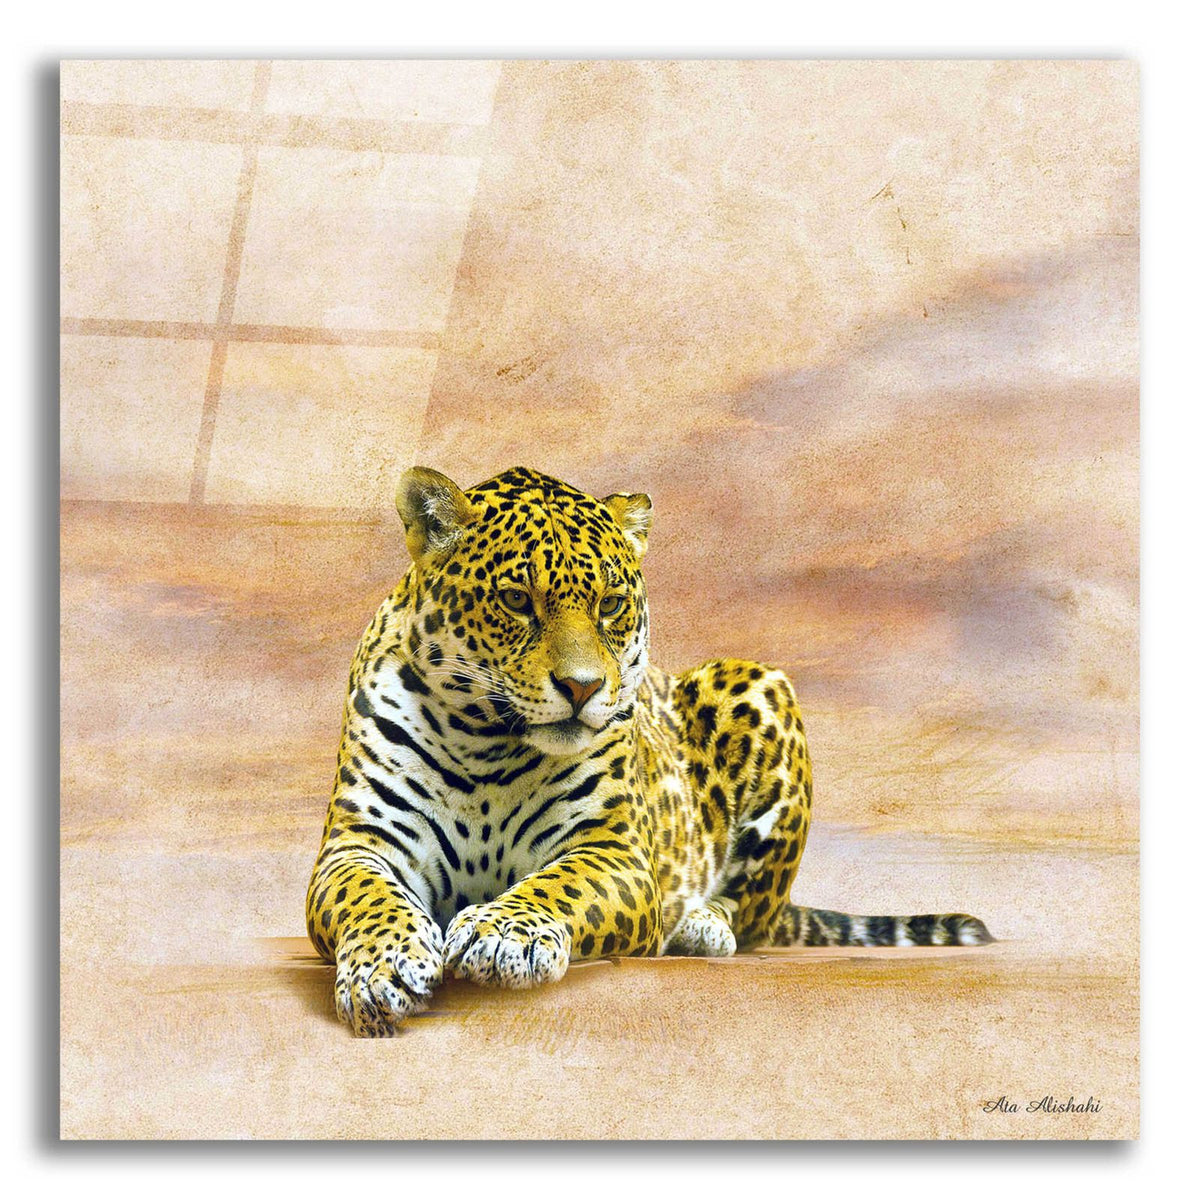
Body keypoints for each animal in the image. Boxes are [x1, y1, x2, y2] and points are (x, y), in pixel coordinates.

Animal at [306, 465, 993, 1036]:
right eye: (517, 600)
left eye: (610, 605)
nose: (583, 687)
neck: (487, 744)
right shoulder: (358, 844)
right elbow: (366, 898)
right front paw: (383, 967)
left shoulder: (615, 852)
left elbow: (558, 884)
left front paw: (503, 934)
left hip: (759, 684)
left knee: (751, 913)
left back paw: (699, 927)